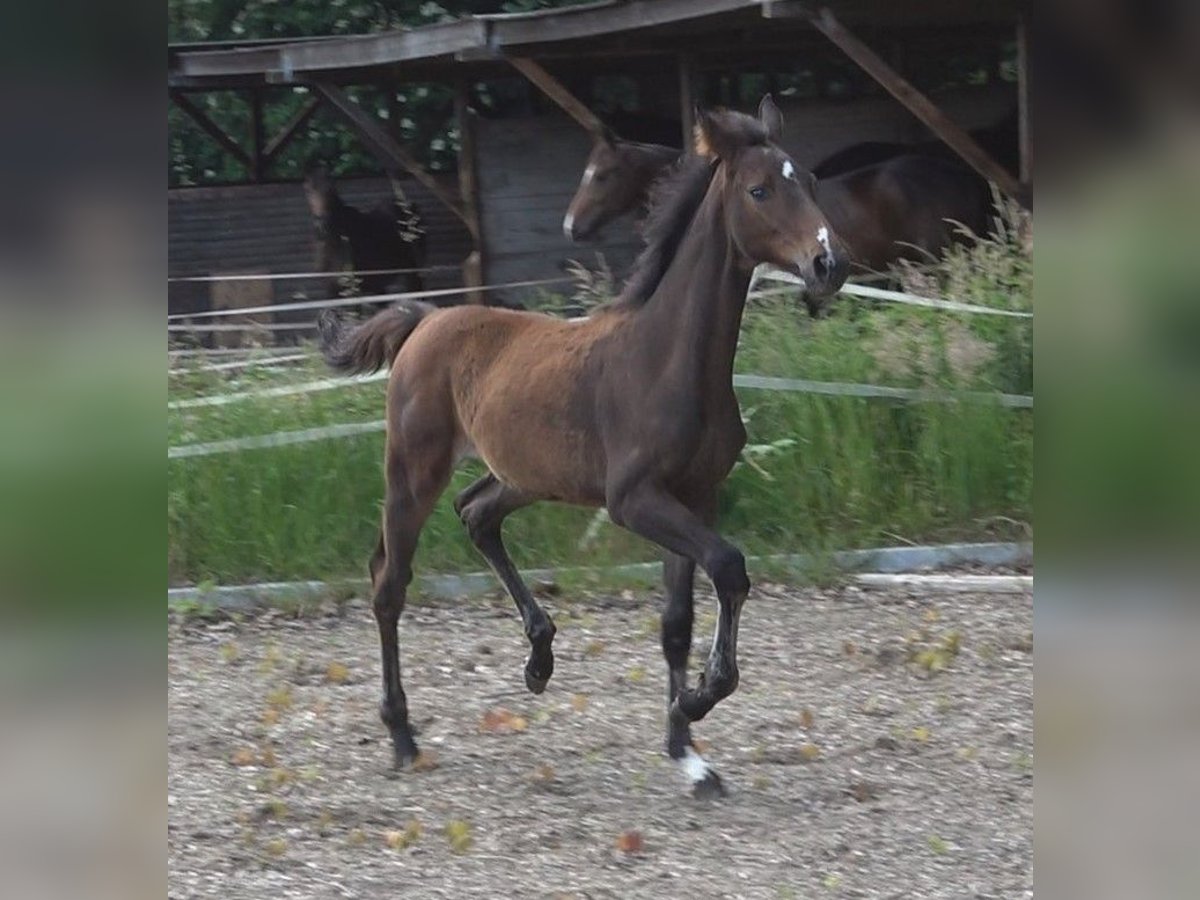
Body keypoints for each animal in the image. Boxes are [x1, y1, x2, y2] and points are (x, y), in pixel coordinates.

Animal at [302, 165, 429, 309]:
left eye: (331, 188)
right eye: (307, 190)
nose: (321, 222)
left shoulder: (353, 290)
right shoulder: (332, 292)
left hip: (412, 271)